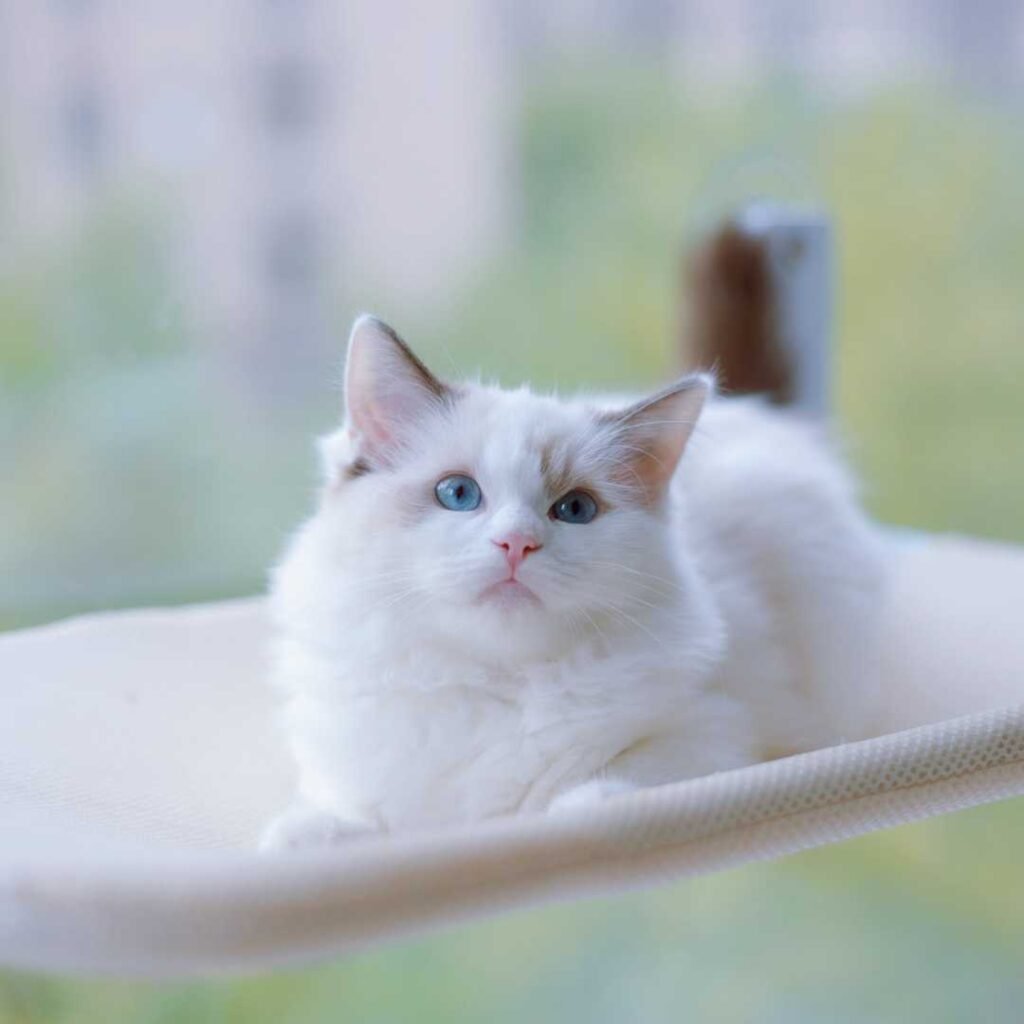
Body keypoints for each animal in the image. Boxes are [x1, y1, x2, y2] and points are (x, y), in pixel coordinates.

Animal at [260, 313, 884, 847]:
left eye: (575, 509)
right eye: (458, 494)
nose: (517, 544)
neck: (496, 683)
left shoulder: (717, 729)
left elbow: (620, 779)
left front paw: (589, 813)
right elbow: (356, 814)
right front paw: (304, 836)